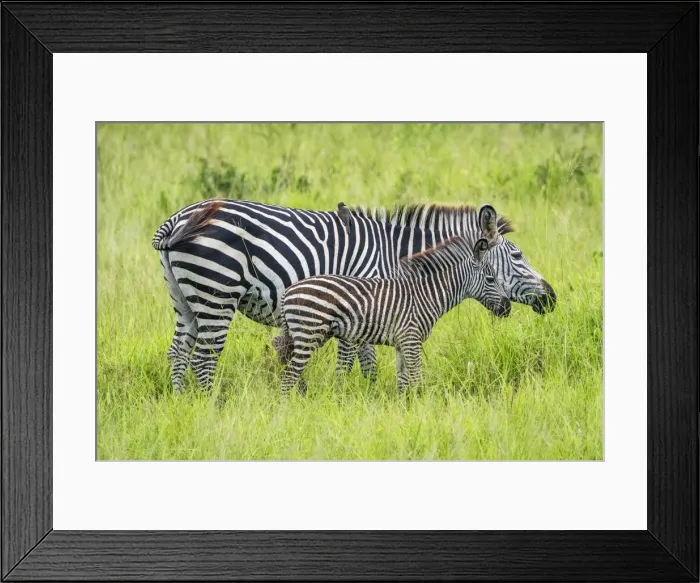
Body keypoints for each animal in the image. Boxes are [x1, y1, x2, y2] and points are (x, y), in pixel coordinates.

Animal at [279, 235, 511, 396]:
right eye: (491, 279)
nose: (508, 308)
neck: (427, 295)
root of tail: (288, 292)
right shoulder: (411, 339)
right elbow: (417, 379)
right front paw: (423, 409)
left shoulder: (402, 343)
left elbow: (403, 381)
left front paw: (404, 411)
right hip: (308, 335)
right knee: (288, 377)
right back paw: (284, 412)